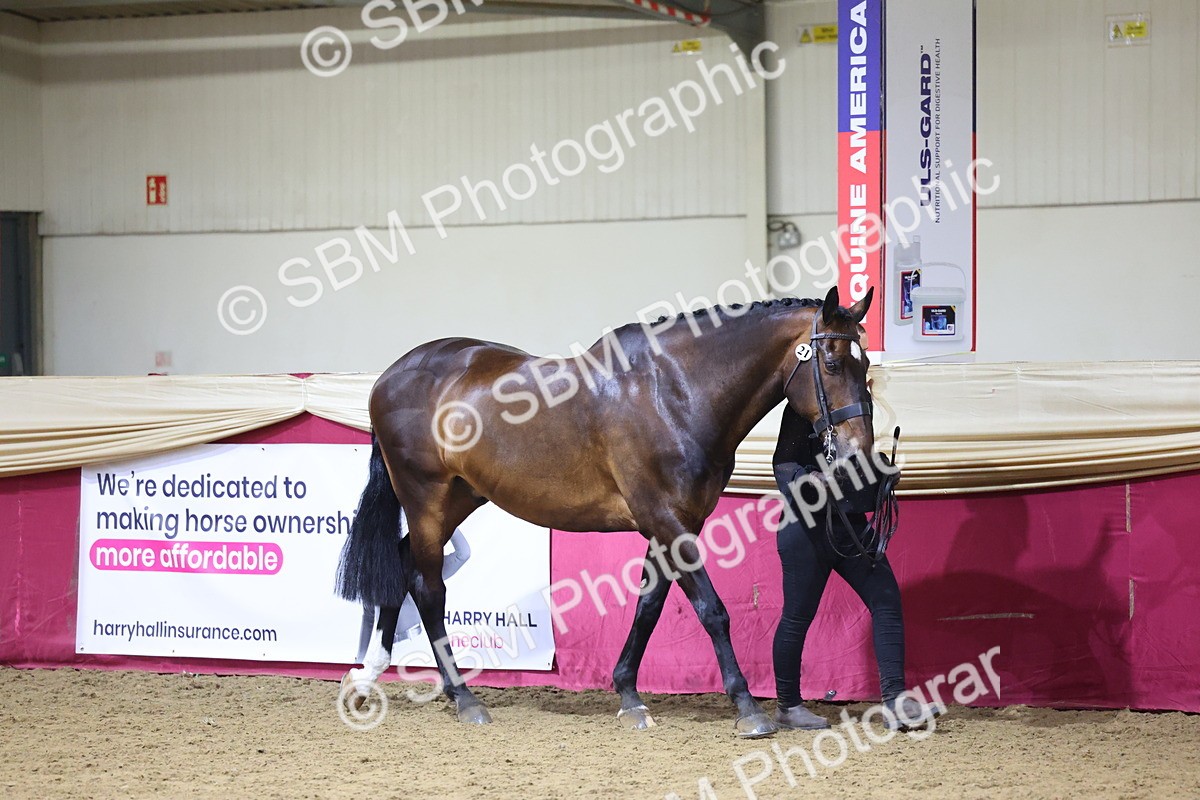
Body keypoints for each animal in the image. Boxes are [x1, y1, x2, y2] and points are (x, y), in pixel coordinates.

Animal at [336, 284, 876, 738]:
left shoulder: (672, 524)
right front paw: (747, 708)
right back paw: (465, 699)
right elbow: (712, 609)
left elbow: (649, 605)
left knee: (403, 565)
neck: (673, 392)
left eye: (866, 364)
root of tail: (390, 377)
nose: (859, 452)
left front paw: (629, 695)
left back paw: (370, 677)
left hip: (460, 497)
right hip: (425, 497)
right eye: (831, 363)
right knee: (428, 587)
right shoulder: (667, 520)